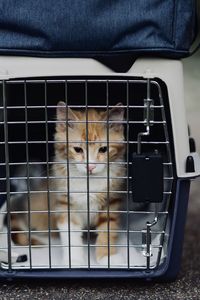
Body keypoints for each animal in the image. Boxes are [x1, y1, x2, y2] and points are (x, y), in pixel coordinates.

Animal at [53, 101, 125, 264]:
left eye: (103, 149)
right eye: (78, 149)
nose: (90, 166)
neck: (88, 182)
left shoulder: (111, 201)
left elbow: (107, 229)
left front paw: (106, 258)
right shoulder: (65, 202)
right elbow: (70, 234)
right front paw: (74, 261)